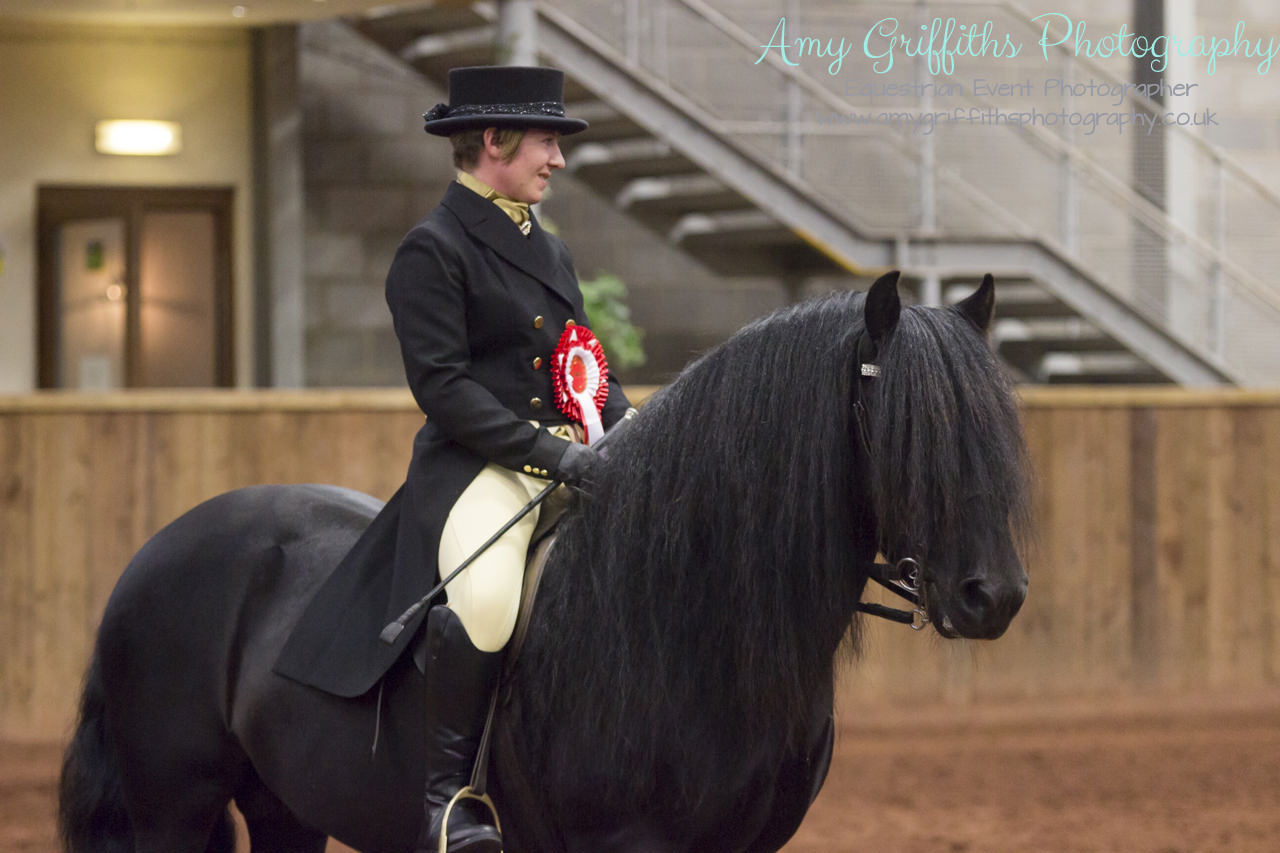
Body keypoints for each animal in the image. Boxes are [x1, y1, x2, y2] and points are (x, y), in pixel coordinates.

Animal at [57, 268, 1029, 845]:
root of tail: (158, 549)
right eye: (907, 430)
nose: (996, 597)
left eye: (999, 427)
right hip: (175, 803)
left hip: (284, 801)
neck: (685, 621)